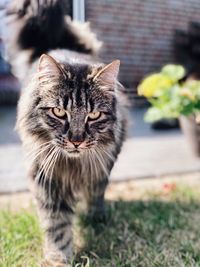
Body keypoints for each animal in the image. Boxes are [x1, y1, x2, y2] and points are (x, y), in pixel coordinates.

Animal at [6, 0, 126, 266]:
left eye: (94, 115)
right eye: (60, 112)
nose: (76, 141)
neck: (73, 164)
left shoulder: (101, 162)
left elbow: (95, 190)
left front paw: (93, 217)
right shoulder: (45, 177)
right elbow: (56, 225)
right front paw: (59, 258)